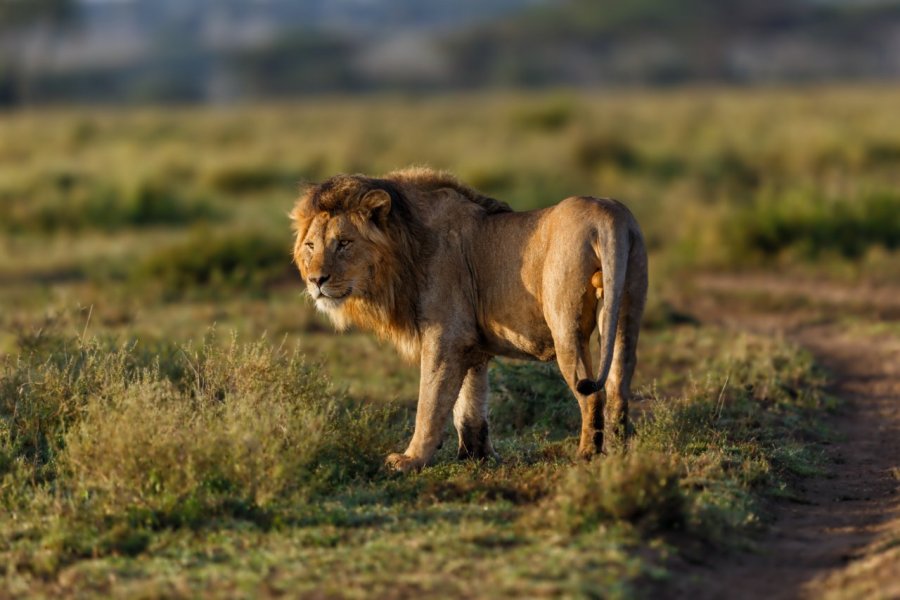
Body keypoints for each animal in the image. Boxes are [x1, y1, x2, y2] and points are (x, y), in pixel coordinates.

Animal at [294, 166, 648, 472]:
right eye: (311, 245)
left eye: (344, 243)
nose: (316, 281)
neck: (404, 248)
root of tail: (608, 215)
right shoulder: (474, 344)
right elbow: (470, 404)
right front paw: (477, 456)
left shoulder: (446, 337)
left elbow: (431, 402)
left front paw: (410, 460)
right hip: (626, 308)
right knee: (618, 385)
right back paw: (618, 454)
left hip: (566, 325)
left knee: (592, 392)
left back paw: (587, 455)